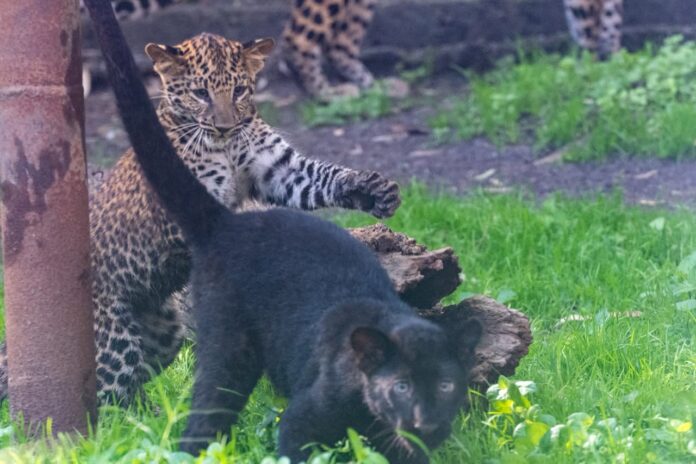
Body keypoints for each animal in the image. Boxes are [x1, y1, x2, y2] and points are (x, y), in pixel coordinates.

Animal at [0, 31, 400, 405]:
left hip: (164, 331)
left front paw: (373, 189)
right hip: (113, 341)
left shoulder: (281, 170)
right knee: (104, 395)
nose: (224, 127)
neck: (228, 147)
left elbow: (322, 178)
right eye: (200, 93)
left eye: (238, 90)